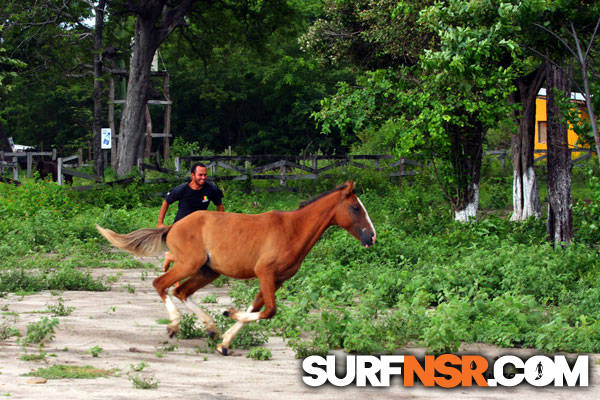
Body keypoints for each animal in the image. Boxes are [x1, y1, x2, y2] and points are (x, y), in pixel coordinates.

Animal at [97, 180, 376, 354]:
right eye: (355, 207)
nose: (371, 237)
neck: (292, 230)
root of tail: (172, 226)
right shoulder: (265, 273)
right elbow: (269, 311)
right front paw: (228, 314)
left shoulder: (278, 279)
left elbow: (256, 307)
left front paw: (225, 341)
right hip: (189, 264)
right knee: (161, 284)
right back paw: (174, 325)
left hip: (208, 270)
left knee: (181, 291)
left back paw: (210, 328)